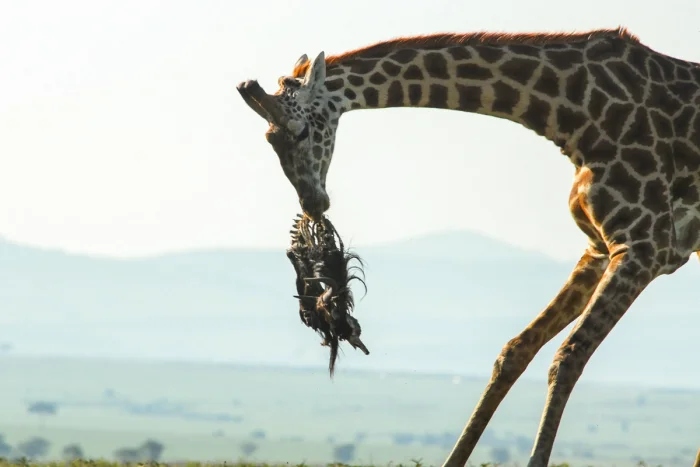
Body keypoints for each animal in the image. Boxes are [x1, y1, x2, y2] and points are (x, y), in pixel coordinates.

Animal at [236, 27, 700, 466]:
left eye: (301, 131)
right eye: (269, 141)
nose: (313, 203)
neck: (574, 115)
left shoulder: (647, 246)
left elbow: (569, 356)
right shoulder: (599, 247)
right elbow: (515, 350)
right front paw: (453, 459)